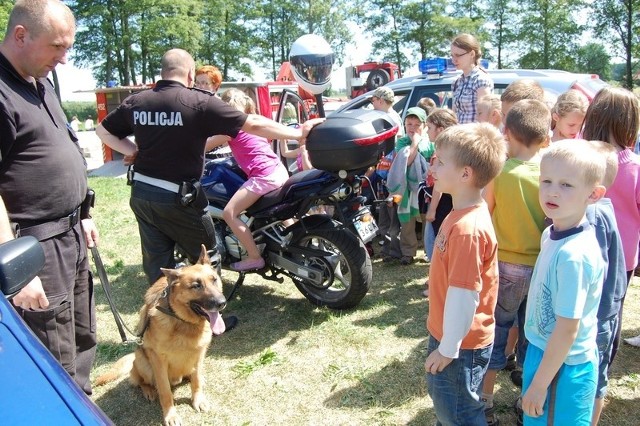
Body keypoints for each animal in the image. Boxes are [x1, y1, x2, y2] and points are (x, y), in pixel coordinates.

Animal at [94, 246, 226, 426]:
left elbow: (196, 381)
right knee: (138, 381)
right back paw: (149, 390)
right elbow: (165, 392)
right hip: (144, 363)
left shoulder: (199, 354)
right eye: (196, 286)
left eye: (214, 280)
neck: (182, 322)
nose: (222, 303)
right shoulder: (159, 362)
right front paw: (170, 415)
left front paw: (197, 399)